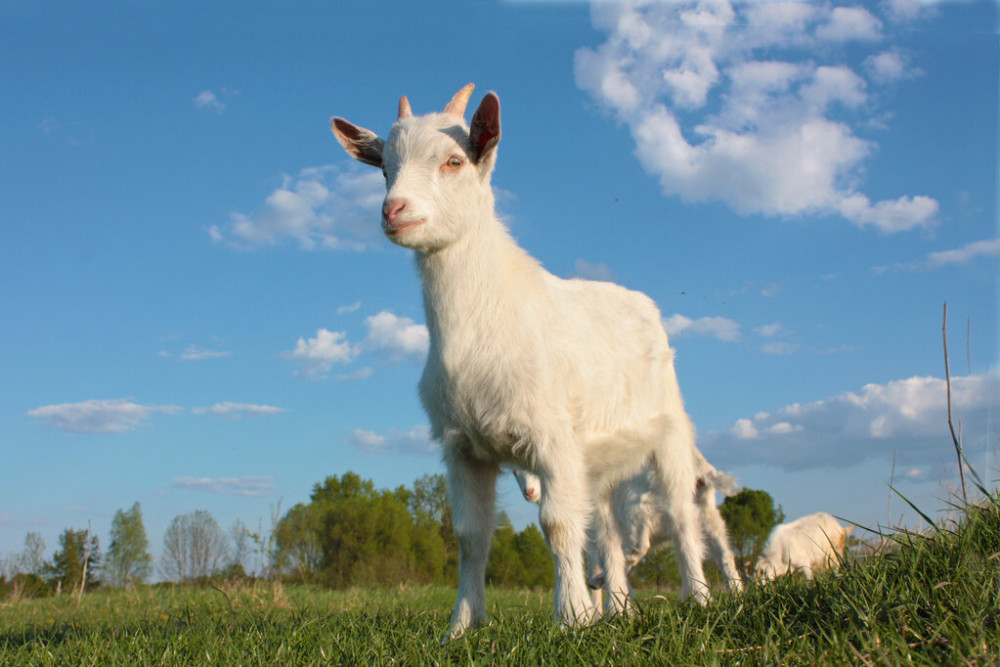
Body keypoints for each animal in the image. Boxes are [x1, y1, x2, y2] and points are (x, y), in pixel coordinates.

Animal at [516, 456, 744, 592]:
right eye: (517, 474)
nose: (529, 492)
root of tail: (698, 466)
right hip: (708, 516)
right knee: (724, 555)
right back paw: (737, 599)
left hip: (639, 507)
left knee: (640, 547)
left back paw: (600, 580)